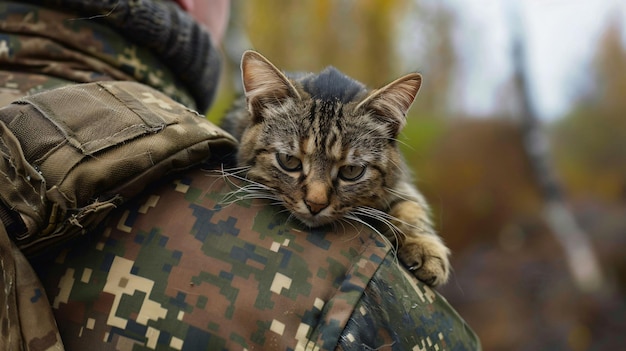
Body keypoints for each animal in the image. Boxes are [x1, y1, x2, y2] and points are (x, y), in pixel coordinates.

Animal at [219, 53, 448, 288]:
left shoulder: (400, 182)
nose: (315, 204)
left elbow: (412, 205)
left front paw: (424, 245)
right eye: (289, 160)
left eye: (351, 170)